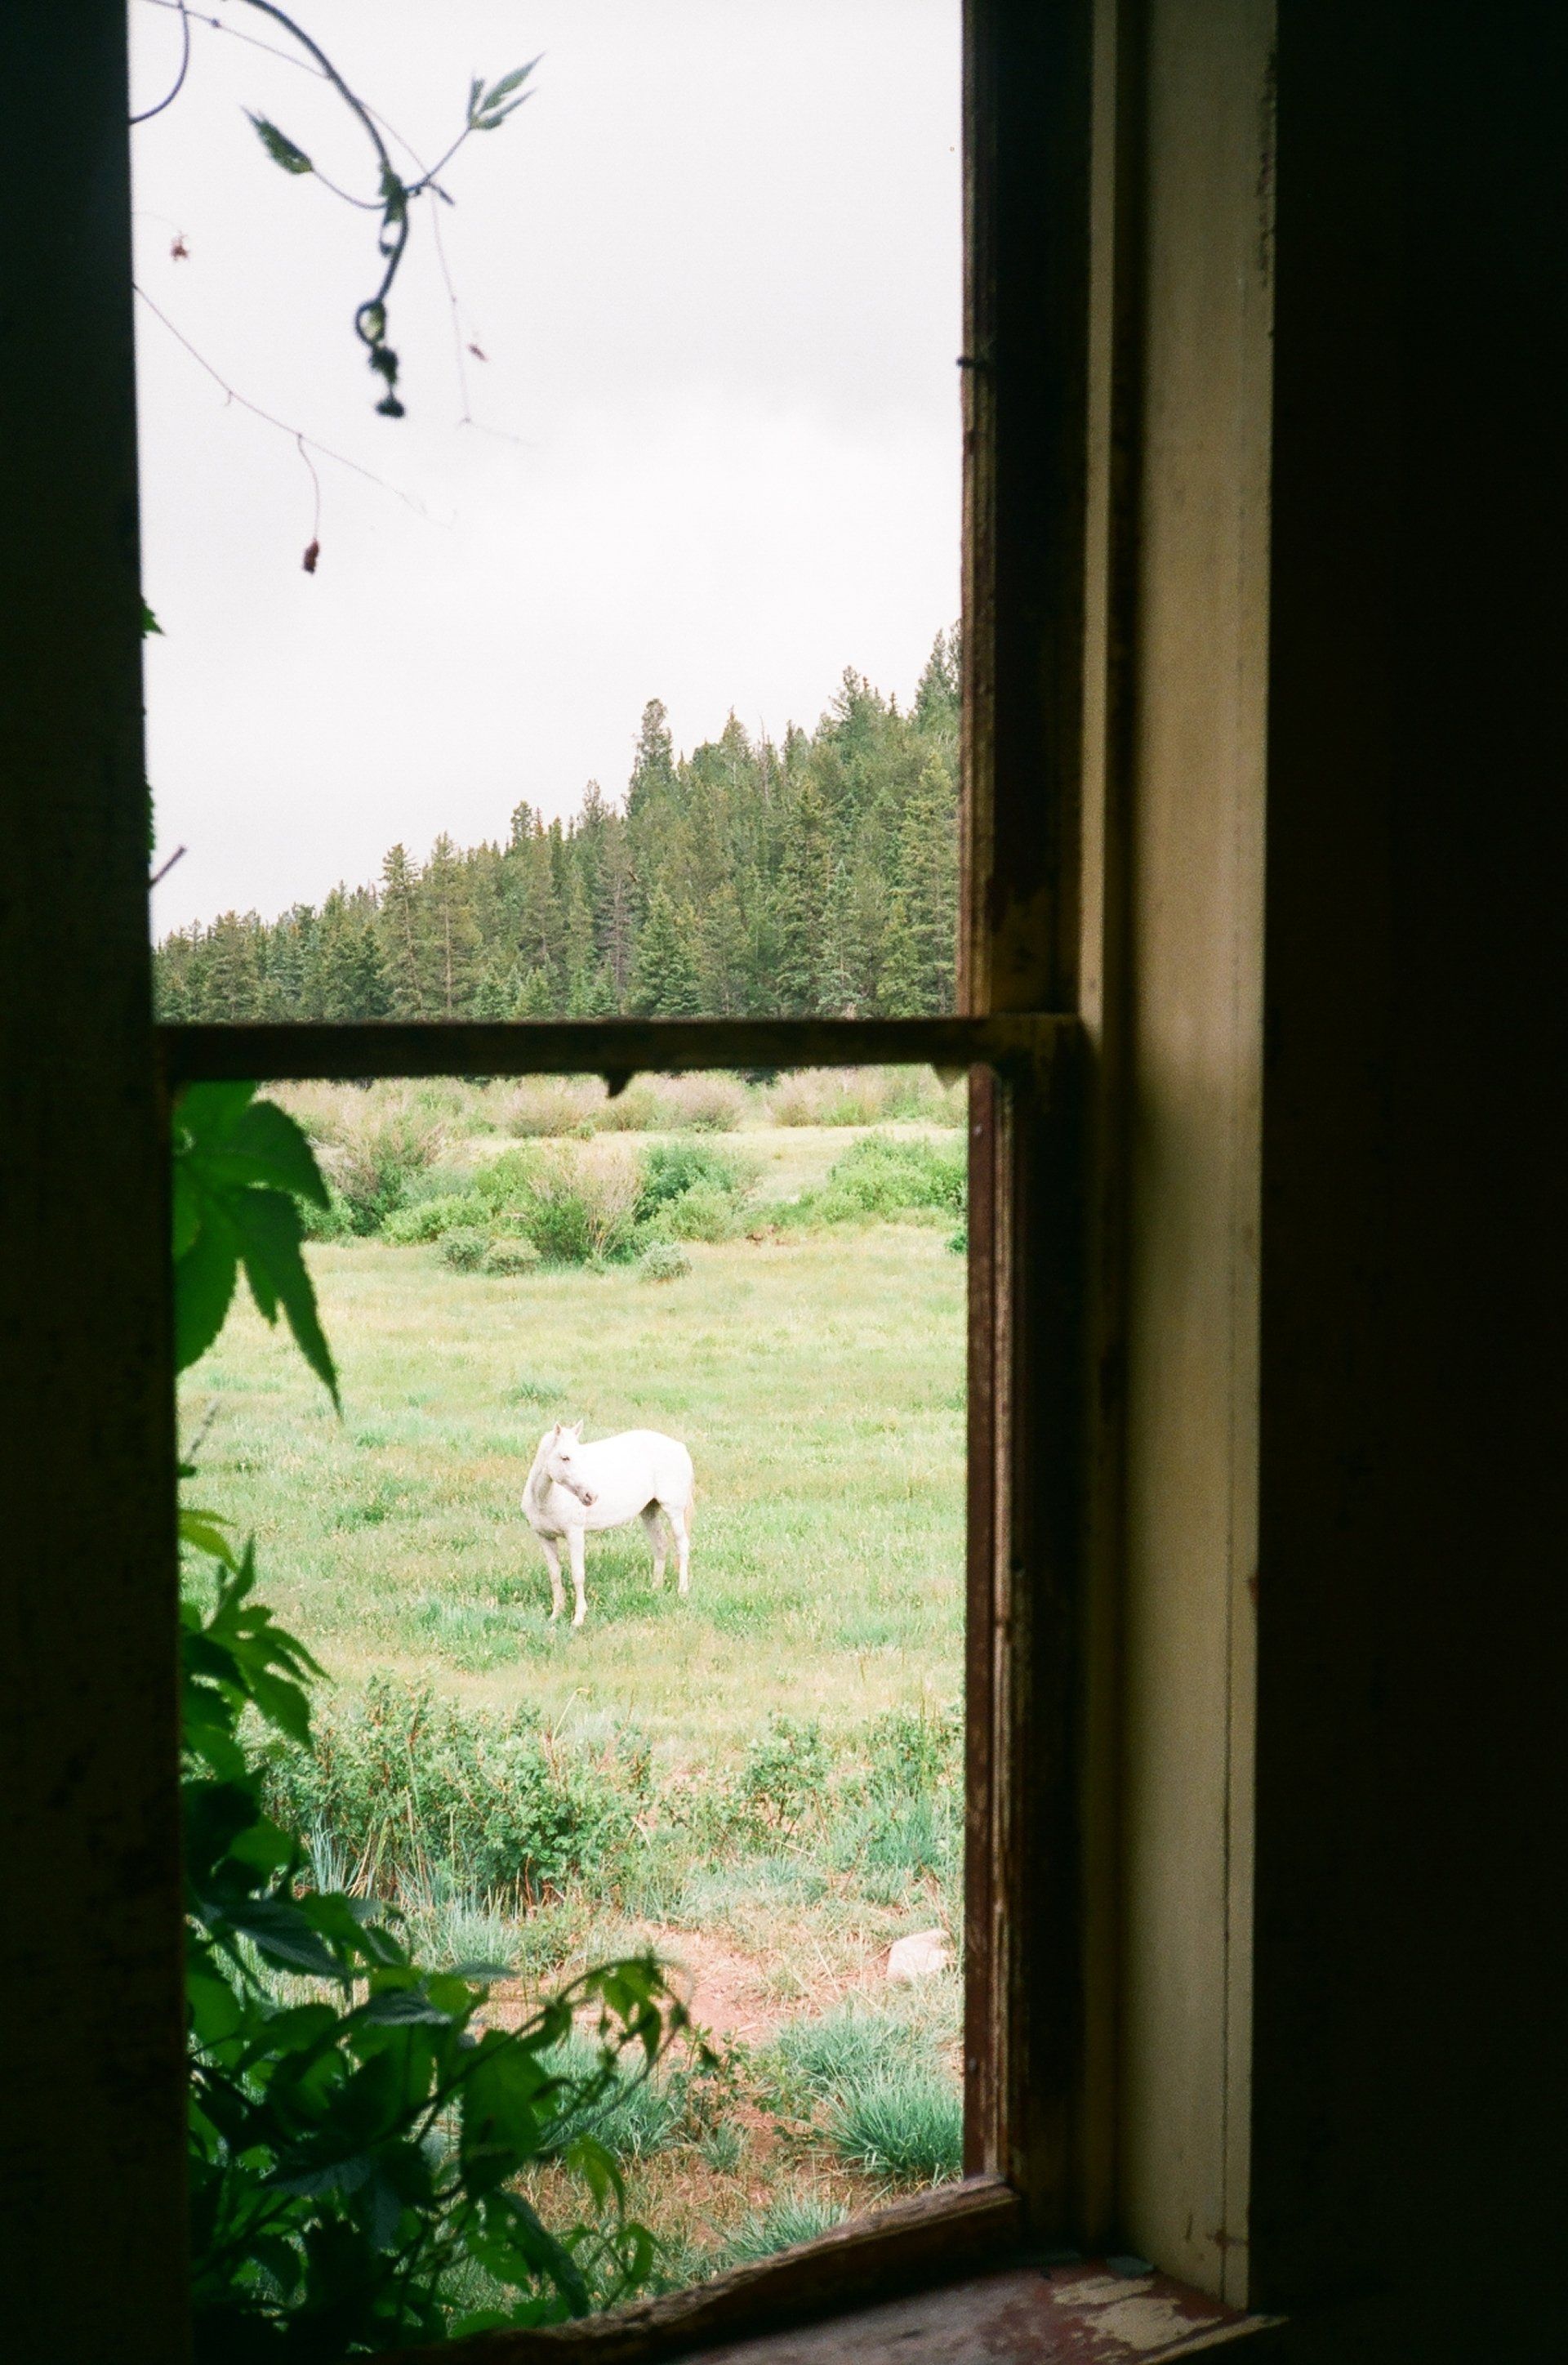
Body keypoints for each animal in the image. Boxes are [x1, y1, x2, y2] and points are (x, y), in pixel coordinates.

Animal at [522, 1420, 695, 1626]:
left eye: (581, 1455)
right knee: (660, 1544)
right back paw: (655, 1588)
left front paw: (578, 1619)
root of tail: (679, 1447)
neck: (546, 1498)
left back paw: (682, 1591)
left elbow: (578, 1575)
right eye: (565, 1458)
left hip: (673, 1510)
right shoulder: (545, 1537)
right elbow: (555, 1576)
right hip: (649, 1511)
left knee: (682, 1545)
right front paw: (556, 1615)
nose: (591, 1495)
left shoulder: (575, 1534)